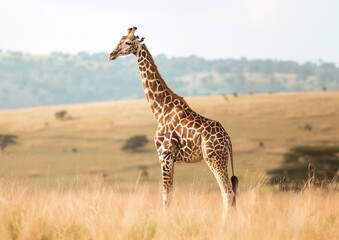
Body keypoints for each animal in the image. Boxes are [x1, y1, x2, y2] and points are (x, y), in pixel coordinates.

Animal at [109, 26, 239, 219]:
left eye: (127, 42)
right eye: (120, 39)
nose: (111, 54)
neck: (160, 109)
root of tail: (228, 140)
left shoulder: (164, 154)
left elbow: (166, 196)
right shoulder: (171, 158)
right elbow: (170, 194)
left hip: (214, 158)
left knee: (227, 192)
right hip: (219, 159)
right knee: (231, 193)